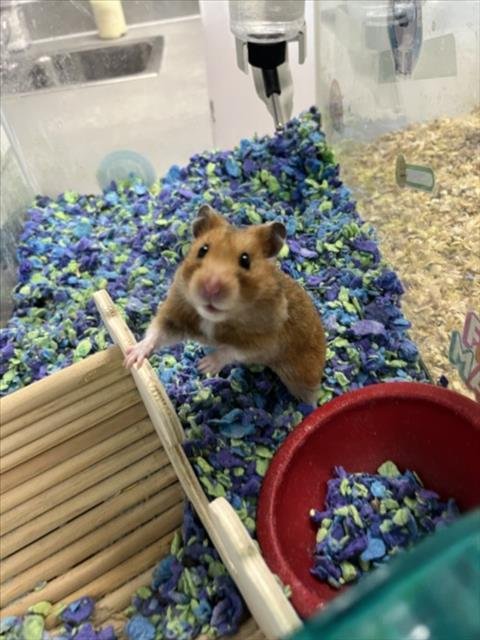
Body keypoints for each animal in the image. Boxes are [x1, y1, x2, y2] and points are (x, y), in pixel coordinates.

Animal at [124, 204, 326, 405]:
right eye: (202, 250)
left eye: (245, 260)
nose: (211, 287)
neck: (214, 318)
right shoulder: (175, 315)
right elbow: (156, 333)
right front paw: (130, 358)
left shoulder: (264, 341)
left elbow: (230, 350)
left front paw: (204, 366)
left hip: (302, 374)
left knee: (310, 396)